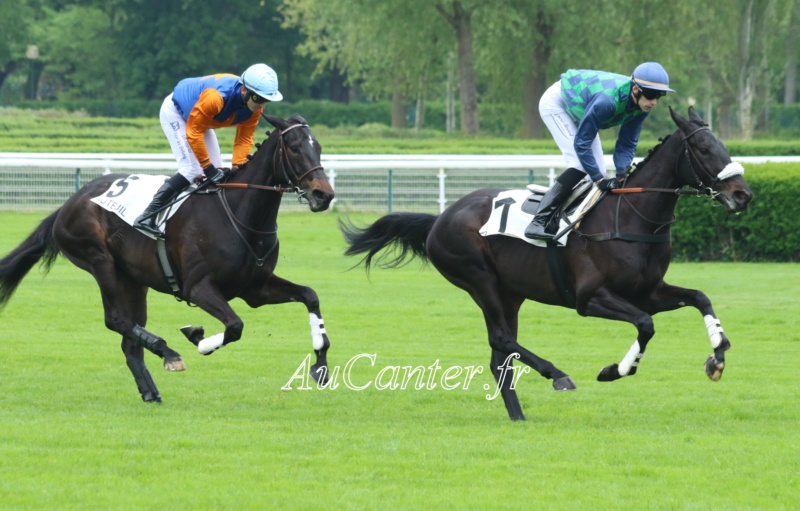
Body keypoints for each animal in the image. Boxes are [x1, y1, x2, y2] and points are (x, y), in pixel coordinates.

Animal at [0, 115, 334, 404]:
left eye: (318, 147)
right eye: (294, 148)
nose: (324, 195)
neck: (239, 214)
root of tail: (68, 203)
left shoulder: (255, 288)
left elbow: (310, 295)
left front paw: (320, 365)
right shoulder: (198, 288)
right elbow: (235, 326)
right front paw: (198, 337)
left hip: (133, 280)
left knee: (129, 341)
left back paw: (151, 392)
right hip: (98, 259)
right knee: (115, 320)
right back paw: (168, 353)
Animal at [340, 107, 752, 420]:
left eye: (723, 145)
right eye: (703, 147)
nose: (743, 194)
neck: (630, 215)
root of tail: (439, 218)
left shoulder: (648, 291)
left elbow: (699, 297)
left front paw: (717, 355)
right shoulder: (590, 298)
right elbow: (645, 325)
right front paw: (615, 370)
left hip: (510, 293)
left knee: (500, 355)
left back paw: (519, 416)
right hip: (478, 278)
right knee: (502, 339)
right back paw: (558, 375)